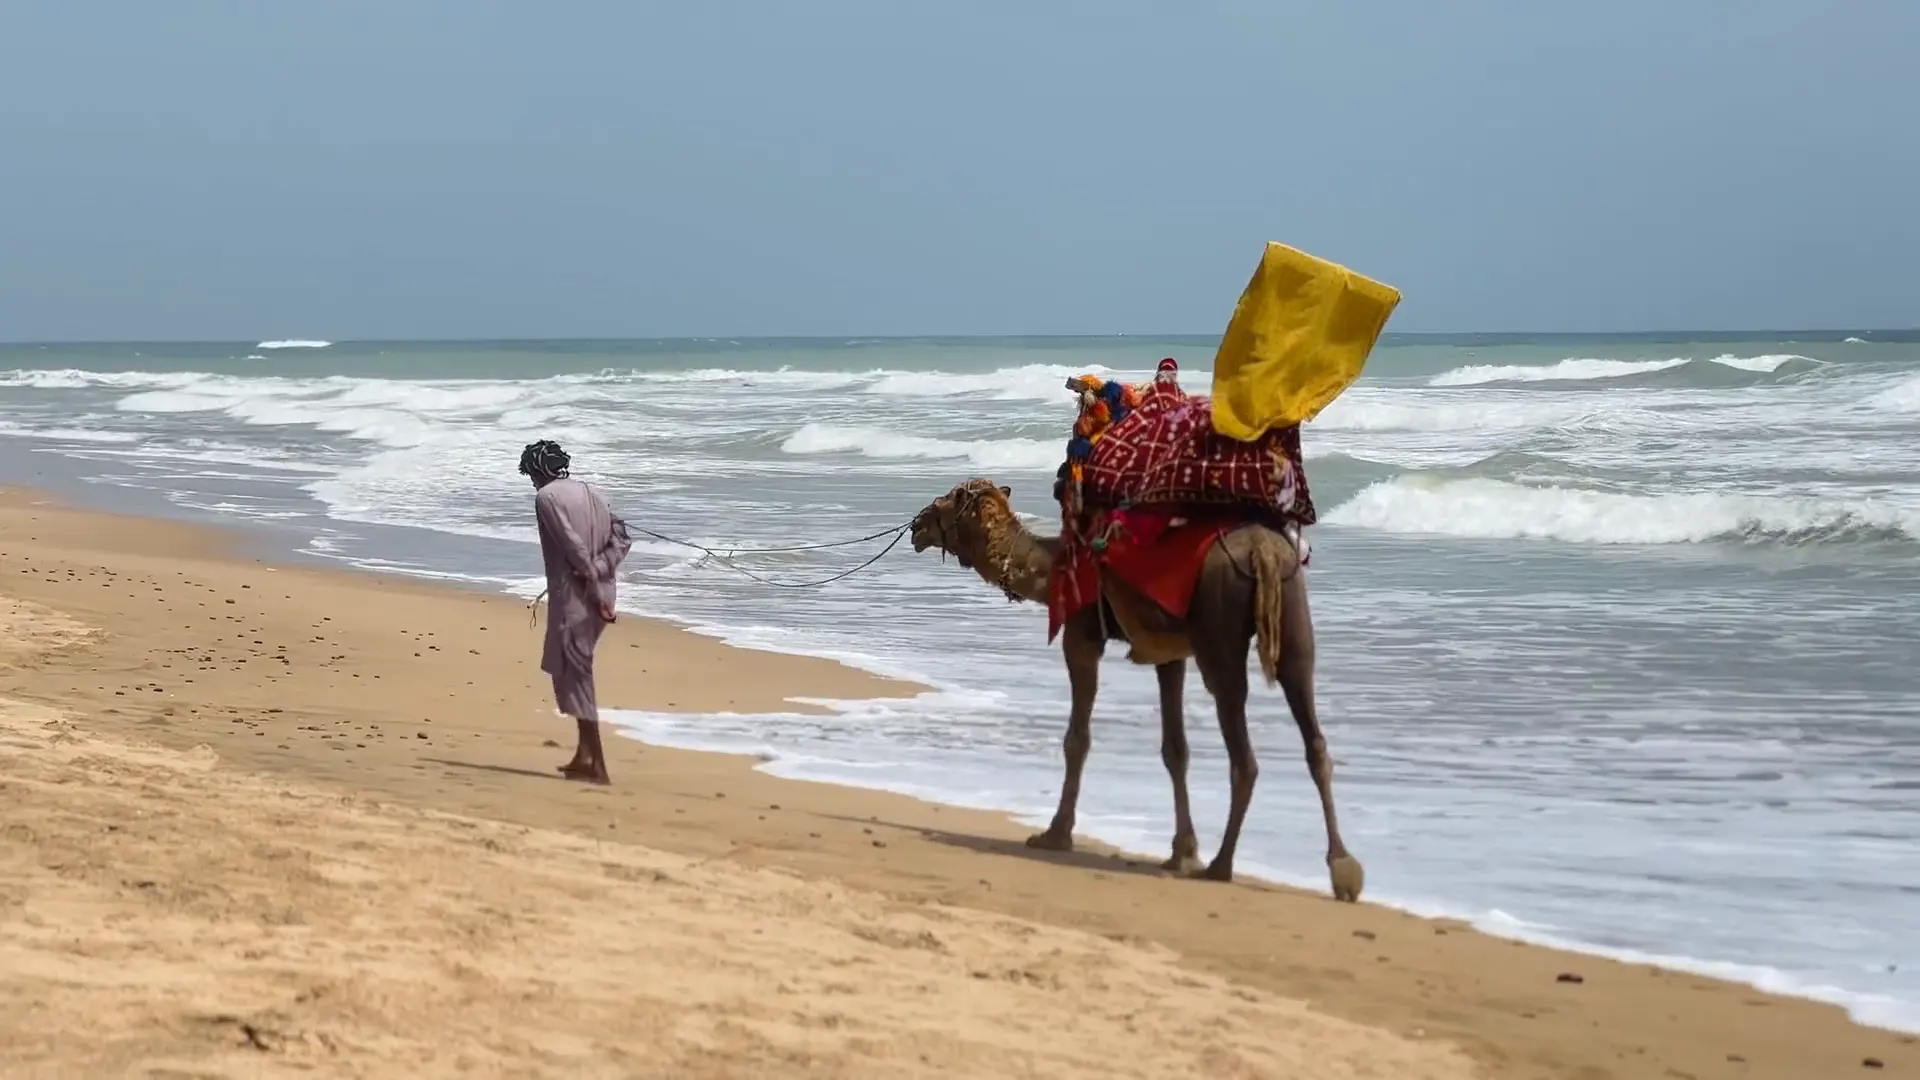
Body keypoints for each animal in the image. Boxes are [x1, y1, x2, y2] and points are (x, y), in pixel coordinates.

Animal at [909, 479, 1363, 901]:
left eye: (949, 499)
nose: (917, 525)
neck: (1052, 564)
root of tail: (1263, 551)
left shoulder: (1082, 635)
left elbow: (1078, 739)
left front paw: (1055, 835)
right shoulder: (1168, 653)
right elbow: (1175, 750)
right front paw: (1182, 852)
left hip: (1220, 623)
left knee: (1243, 748)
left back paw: (1221, 865)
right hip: (1292, 611)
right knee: (1313, 733)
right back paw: (1343, 871)